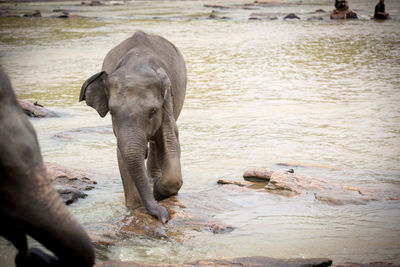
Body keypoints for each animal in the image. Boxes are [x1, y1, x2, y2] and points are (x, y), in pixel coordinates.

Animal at [80, 30, 188, 224]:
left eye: (152, 111)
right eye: (112, 112)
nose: (164, 218)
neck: (136, 65)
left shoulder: (168, 103)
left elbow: (170, 141)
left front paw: (157, 190)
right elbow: (122, 155)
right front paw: (136, 208)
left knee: (156, 143)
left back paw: (153, 179)